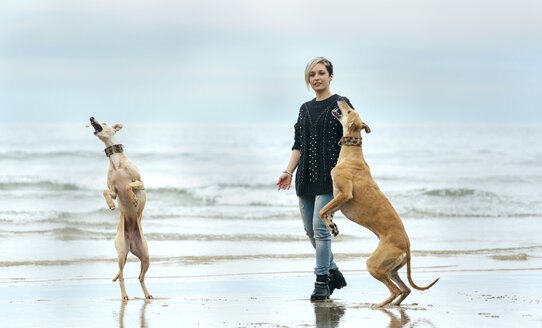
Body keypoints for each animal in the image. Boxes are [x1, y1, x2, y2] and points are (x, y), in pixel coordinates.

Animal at [90, 118, 153, 300]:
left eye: (104, 123)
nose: (91, 118)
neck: (116, 163)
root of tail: (131, 244)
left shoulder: (141, 183)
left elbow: (129, 185)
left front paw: (132, 198)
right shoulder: (113, 190)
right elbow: (106, 191)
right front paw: (111, 205)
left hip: (146, 256)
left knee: (140, 277)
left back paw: (147, 294)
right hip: (121, 254)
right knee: (122, 277)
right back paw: (125, 295)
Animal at [320, 100, 440, 308]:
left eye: (349, 110)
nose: (341, 99)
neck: (352, 156)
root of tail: (407, 245)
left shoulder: (345, 194)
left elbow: (321, 211)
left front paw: (330, 225)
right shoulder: (338, 199)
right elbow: (327, 212)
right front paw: (332, 226)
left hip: (374, 265)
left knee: (395, 289)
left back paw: (379, 305)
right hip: (391, 269)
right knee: (405, 289)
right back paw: (392, 305)